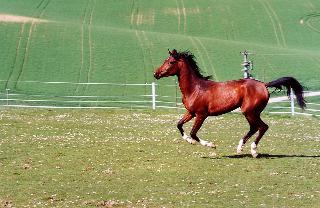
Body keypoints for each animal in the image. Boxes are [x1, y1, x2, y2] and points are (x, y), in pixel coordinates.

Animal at [154, 48, 306, 158]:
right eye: (165, 60)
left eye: (171, 62)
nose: (156, 73)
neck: (195, 88)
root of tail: (264, 85)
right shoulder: (190, 112)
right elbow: (179, 125)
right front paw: (188, 140)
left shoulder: (201, 115)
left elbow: (193, 133)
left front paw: (211, 145)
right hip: (250, 113)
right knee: (254, 128)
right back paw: (240, 148)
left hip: (250, 112)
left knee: (262, 127)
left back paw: (254, 151)